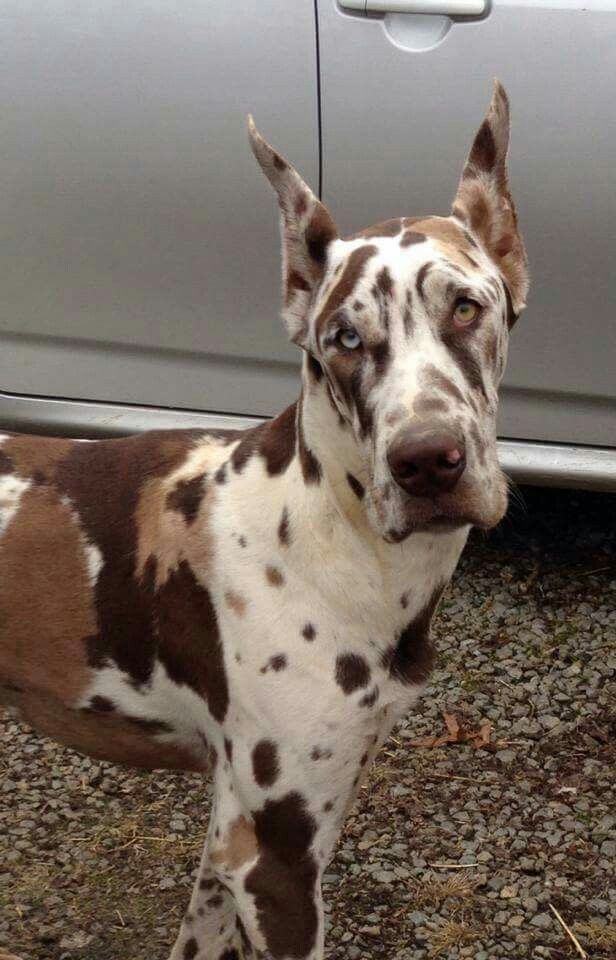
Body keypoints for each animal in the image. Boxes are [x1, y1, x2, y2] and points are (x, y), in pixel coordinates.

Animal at [1, 82, 528, 960]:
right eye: (344, 337)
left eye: (465, 306)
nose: (427, 462)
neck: (328, 532)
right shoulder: (276, 859)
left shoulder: (234, 838)